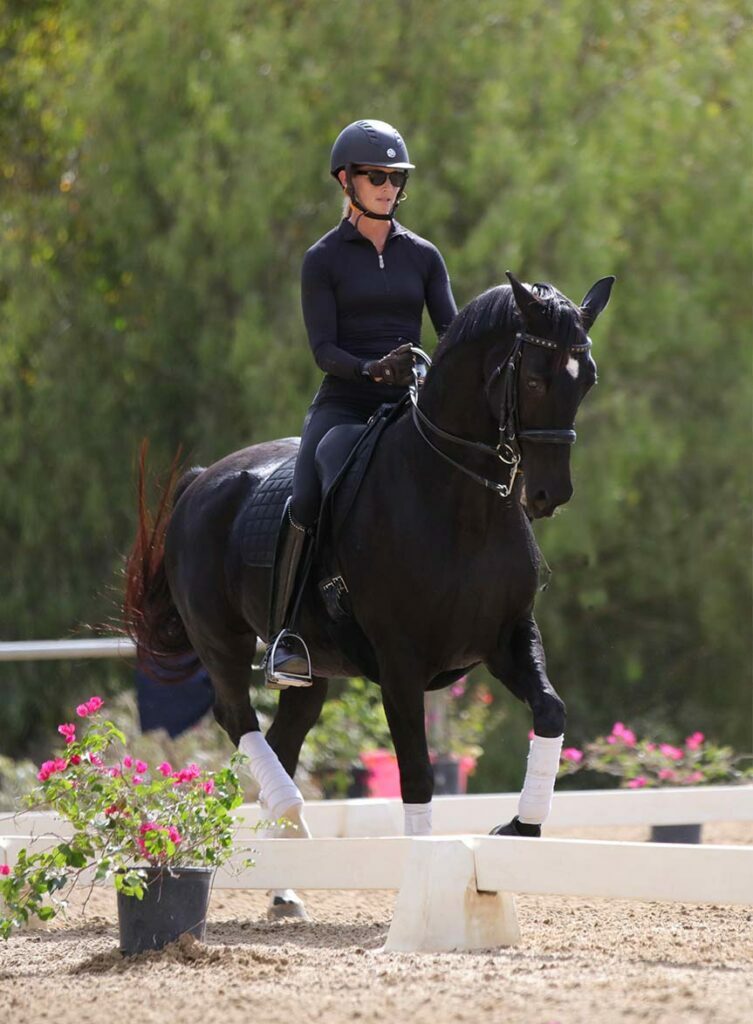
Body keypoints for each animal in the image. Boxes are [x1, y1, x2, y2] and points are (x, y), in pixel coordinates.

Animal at [124, 271, 613, 919]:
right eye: (534, 377)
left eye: (586, 380)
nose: (549, 495)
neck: (461, 502)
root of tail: (203, 480)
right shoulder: (401, 663)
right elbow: (419, 773)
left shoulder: (508, 639)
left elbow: (551, 710)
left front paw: (522, 828)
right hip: (219, 638)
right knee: (237, 717)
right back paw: (293, 819)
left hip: (310, 670)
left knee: (282, 737)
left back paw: (286, 879)